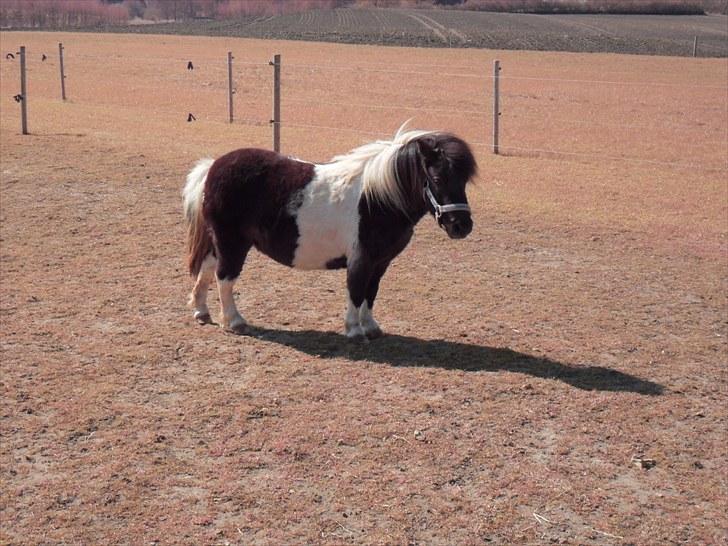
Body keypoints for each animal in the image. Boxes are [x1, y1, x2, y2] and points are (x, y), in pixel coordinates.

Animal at [182, 125, 478, 338]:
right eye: (437, 178)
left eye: (464, 180)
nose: (461, 226)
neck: (377, 198)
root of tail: (212, 168)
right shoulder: (362, 259)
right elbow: (356, 291)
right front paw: (354, 330)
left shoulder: (380, 262)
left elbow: (371, 292)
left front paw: (371, 327)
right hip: (232, 242)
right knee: (224, 278)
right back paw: (234, 321)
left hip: (219, 241)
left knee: (207, 269)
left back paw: (201, 311)